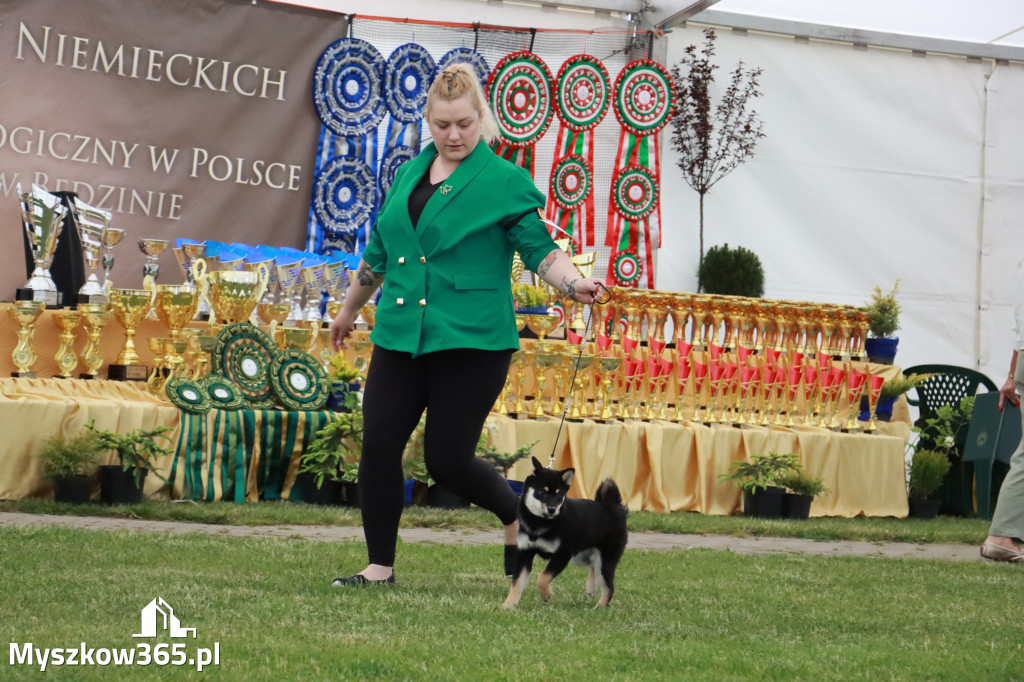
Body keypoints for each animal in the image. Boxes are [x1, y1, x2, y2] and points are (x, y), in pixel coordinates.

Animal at [501, 456, 626, 606]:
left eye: (559, 495)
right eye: (542, 492)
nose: (552, 509)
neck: (540, 523)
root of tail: (613, 507)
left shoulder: (563, 554)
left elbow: (542, 578)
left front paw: (547, 595)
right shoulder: (525, 552)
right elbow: (517, 583)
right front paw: (508, 605)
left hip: (605, 558)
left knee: (608, 586)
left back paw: (600, 606)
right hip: (581, 557)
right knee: (593, 567)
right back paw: (591, 588)